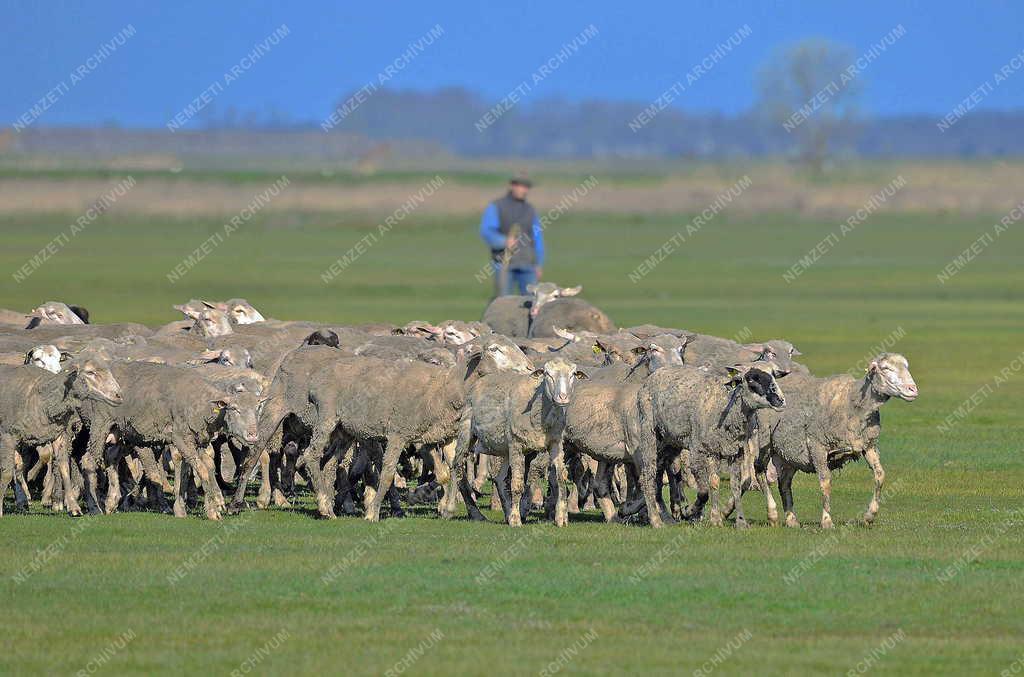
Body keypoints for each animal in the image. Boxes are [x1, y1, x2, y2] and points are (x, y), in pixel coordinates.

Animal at [0, 356, 122, 514]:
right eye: (90, 372)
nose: (119, 395)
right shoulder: (7, 436)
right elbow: (7, 473)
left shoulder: (58, 435)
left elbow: (64, 467)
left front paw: (73, 507)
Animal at [643, 362, 786, 524]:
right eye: (751, 379)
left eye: (774, 376)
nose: (781, 400)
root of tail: (658, 372)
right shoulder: (699, 451)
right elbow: (705, 490)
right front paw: (693, 512)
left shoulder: (736, 448)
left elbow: (733, 482)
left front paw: (722, 516)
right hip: (652, 435)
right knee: (653, 471)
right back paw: (663, 513)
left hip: (671, 441)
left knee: (667, 469)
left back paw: (672, 509)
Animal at [757, 354, 917, 528]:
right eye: (886, 368)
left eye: (906, 366)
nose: (913, 389)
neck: (853, 402)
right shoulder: (817, 445)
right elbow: (825, 481)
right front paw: (827, 521)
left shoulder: (868, 445)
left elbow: (880, 475)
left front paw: (869, 516)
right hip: (764, 442)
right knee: (760, 475)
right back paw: (772, 515)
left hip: (788, 452)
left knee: (784, 483)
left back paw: (792, 520)